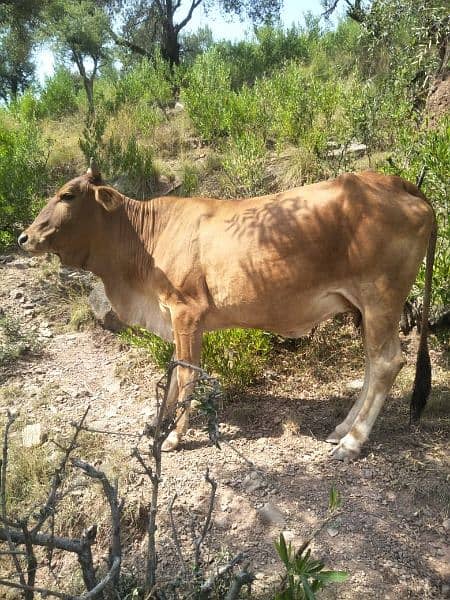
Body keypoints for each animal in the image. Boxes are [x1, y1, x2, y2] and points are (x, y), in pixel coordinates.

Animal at [19, 164, 438, 460]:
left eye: (68, 195)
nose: (25, 237)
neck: (143, 240)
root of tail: (394, 181)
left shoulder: (186, 312)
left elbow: (186, 375)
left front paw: (173, 437)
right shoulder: (175, 317)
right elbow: (173, 372)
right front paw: (156, 425)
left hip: (381, 298)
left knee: (386, 363)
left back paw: (352, 441)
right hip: (365, 307)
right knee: (371, 363)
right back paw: (341, 429)